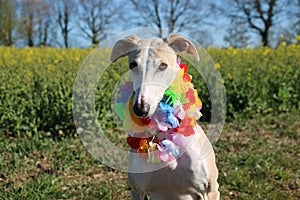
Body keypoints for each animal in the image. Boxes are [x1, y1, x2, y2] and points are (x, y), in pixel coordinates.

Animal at [109, 33, 218, 199]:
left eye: (163, 66)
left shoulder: (210, 190)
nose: (140, 109)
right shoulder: (137, 190)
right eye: (133, 65)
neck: (165, 133)